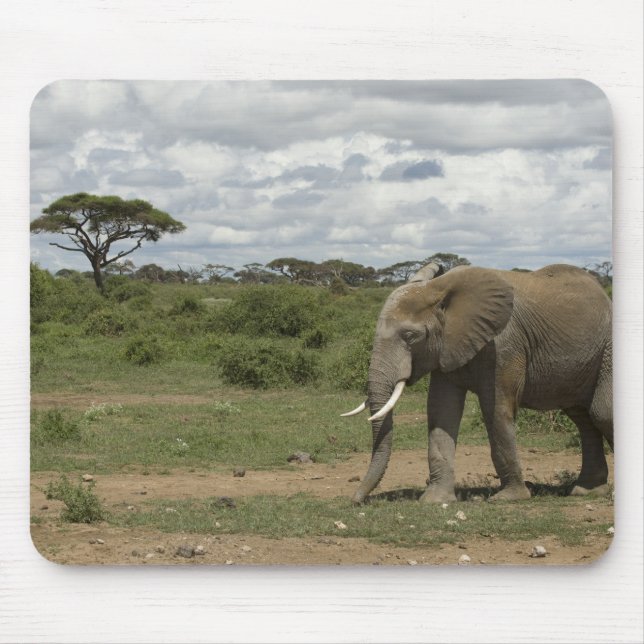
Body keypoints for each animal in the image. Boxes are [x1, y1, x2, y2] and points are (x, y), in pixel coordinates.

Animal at [342, 262, 613, 504]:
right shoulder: (447, 346)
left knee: (601, 413)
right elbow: (442, 411)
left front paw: (509, 498)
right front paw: (434, 500)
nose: (356, 501)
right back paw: (587, 491)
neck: (440, 289)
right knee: (584, 419)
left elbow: (497, 411)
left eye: (410, 336)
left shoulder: (504, 345)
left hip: (607, 347)